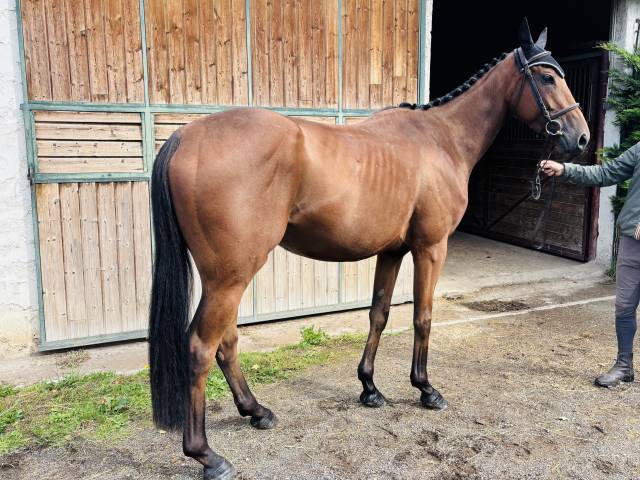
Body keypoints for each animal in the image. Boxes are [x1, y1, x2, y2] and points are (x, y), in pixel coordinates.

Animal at [148, 19, 589, 479]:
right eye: (547, 77)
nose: (581, 138)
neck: (442, 139)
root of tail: (186, 135)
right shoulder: (431, 248)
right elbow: (422, 317)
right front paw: (426, 389)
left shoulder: (391, 252)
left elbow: (379, 314)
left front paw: (370, 388)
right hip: (230, 276)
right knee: (201, 347)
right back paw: (206, 454)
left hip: (226, 275)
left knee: (227, 341)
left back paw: (256, 411)